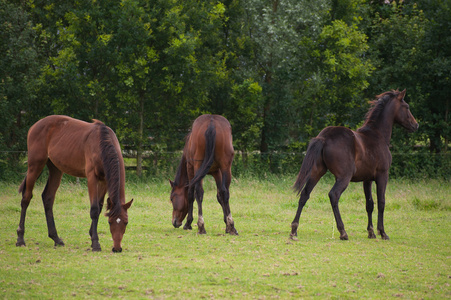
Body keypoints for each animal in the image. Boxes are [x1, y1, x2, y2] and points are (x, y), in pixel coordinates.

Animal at [15, 116, 132, 252]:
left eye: (126, 222)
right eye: (110, 222)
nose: (117, 248)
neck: (102, 143)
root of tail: (35, 126)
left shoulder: (104, 181)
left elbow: (99, 206)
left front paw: (92, 236)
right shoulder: (92, 177)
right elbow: (94, 209)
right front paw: (95, 243)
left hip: (55, 169)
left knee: (48, 198)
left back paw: (56, 238)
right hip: (35, 165)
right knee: (26, 198)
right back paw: (20, 239)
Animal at [292, 89, 418, 241]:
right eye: (407, 107)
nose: (416, 125)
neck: (378, 136)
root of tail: (324, 137)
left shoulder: (367, 179)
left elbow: (369, 204)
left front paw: (371, 232)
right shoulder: (383, 175)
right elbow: (381, 202)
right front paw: (382, 232)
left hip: (316, 173)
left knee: (304, 195)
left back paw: (294, 230)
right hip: (344, 177)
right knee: (333, 195)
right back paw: (343, 232)